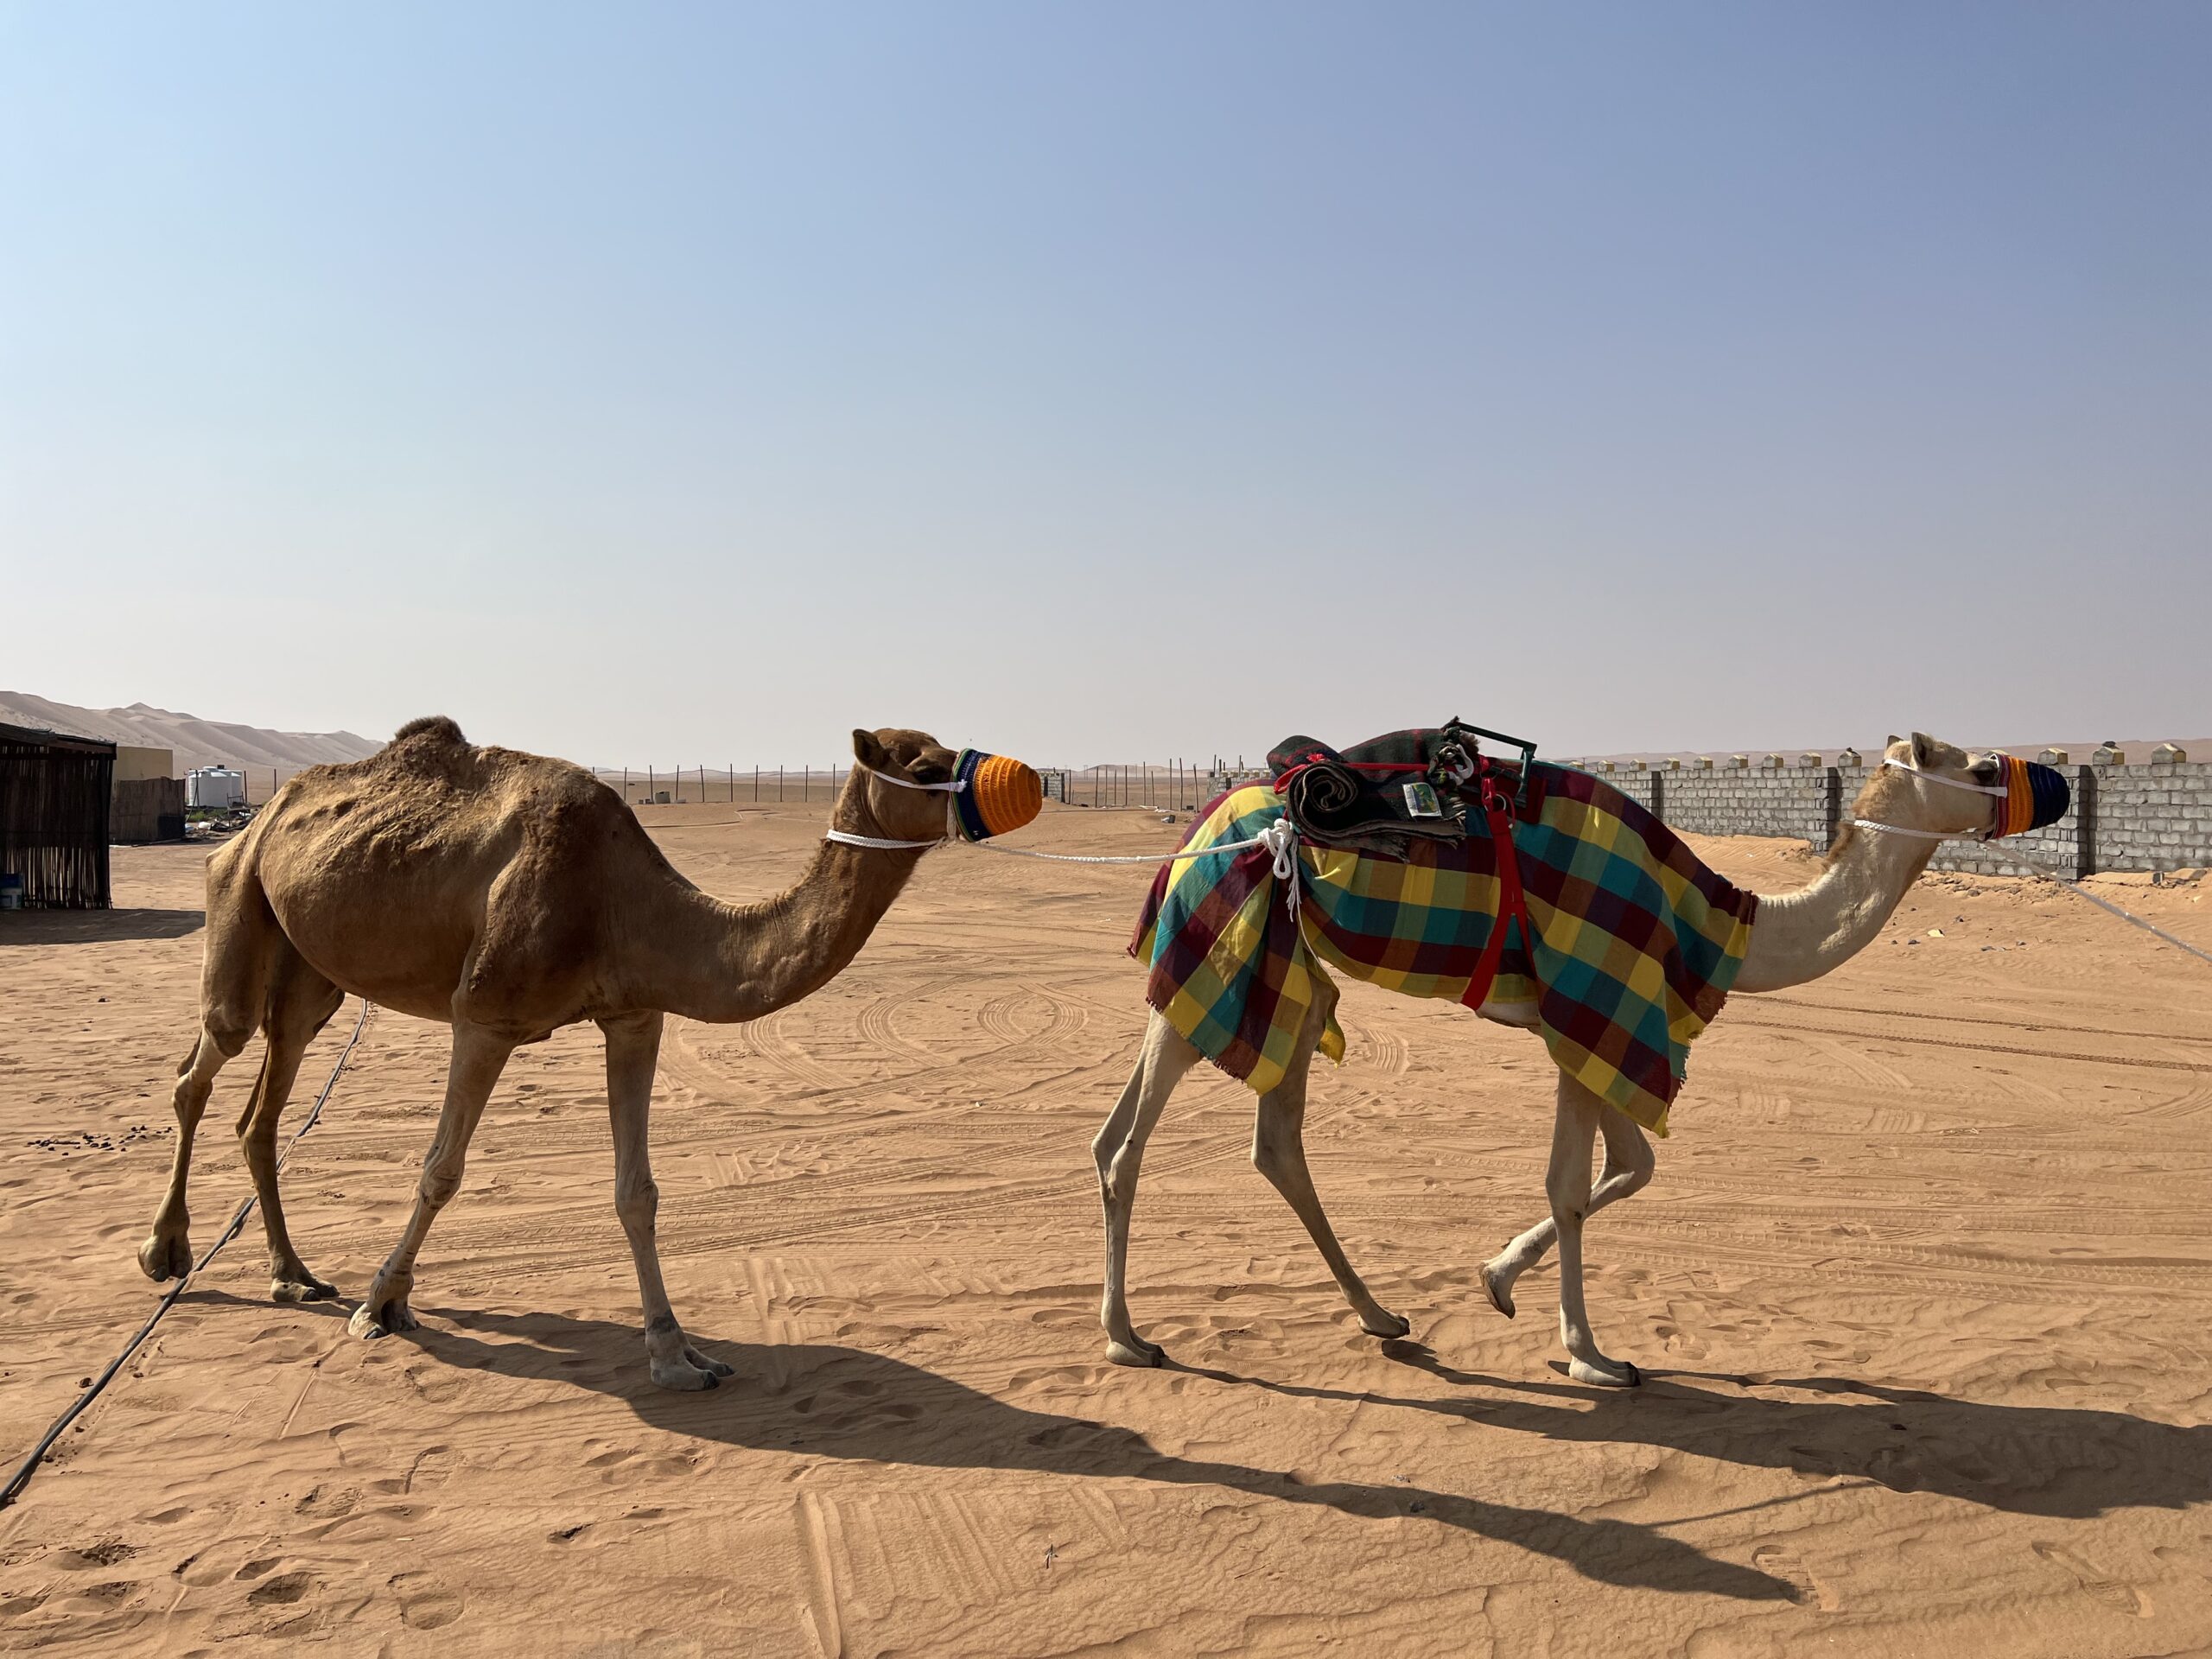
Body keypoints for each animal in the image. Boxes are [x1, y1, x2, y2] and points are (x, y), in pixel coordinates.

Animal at [138, 721, 964, 1380]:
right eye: (926, 768)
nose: (984, 793)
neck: (623, 900)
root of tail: (255, 821)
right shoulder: (484, 1017)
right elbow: (440, 1172)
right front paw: (381, 1303)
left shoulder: (635, 1017)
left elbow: (638, 1192)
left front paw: (676, 1352)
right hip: (239, 898)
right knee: (204, 1059)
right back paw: (167, 1253)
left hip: (311, 974)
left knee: (265, 1100)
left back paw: (293, 1275)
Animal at [1096, 739, 2017, 1389]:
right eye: (1978, 765)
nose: (2035, 787)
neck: (1719, 926)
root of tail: (1200, 820)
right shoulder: (1592, 1003)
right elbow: (1573, 1186)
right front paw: (1592, 1355)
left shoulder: (1594, 1025)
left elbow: (1632, 1165)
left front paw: (1498, 1279)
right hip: (1226, 938)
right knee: (1128, 1144)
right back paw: (1127, 1339)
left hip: (1292, 967)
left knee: (1266, 1140)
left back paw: (1381, 1316)